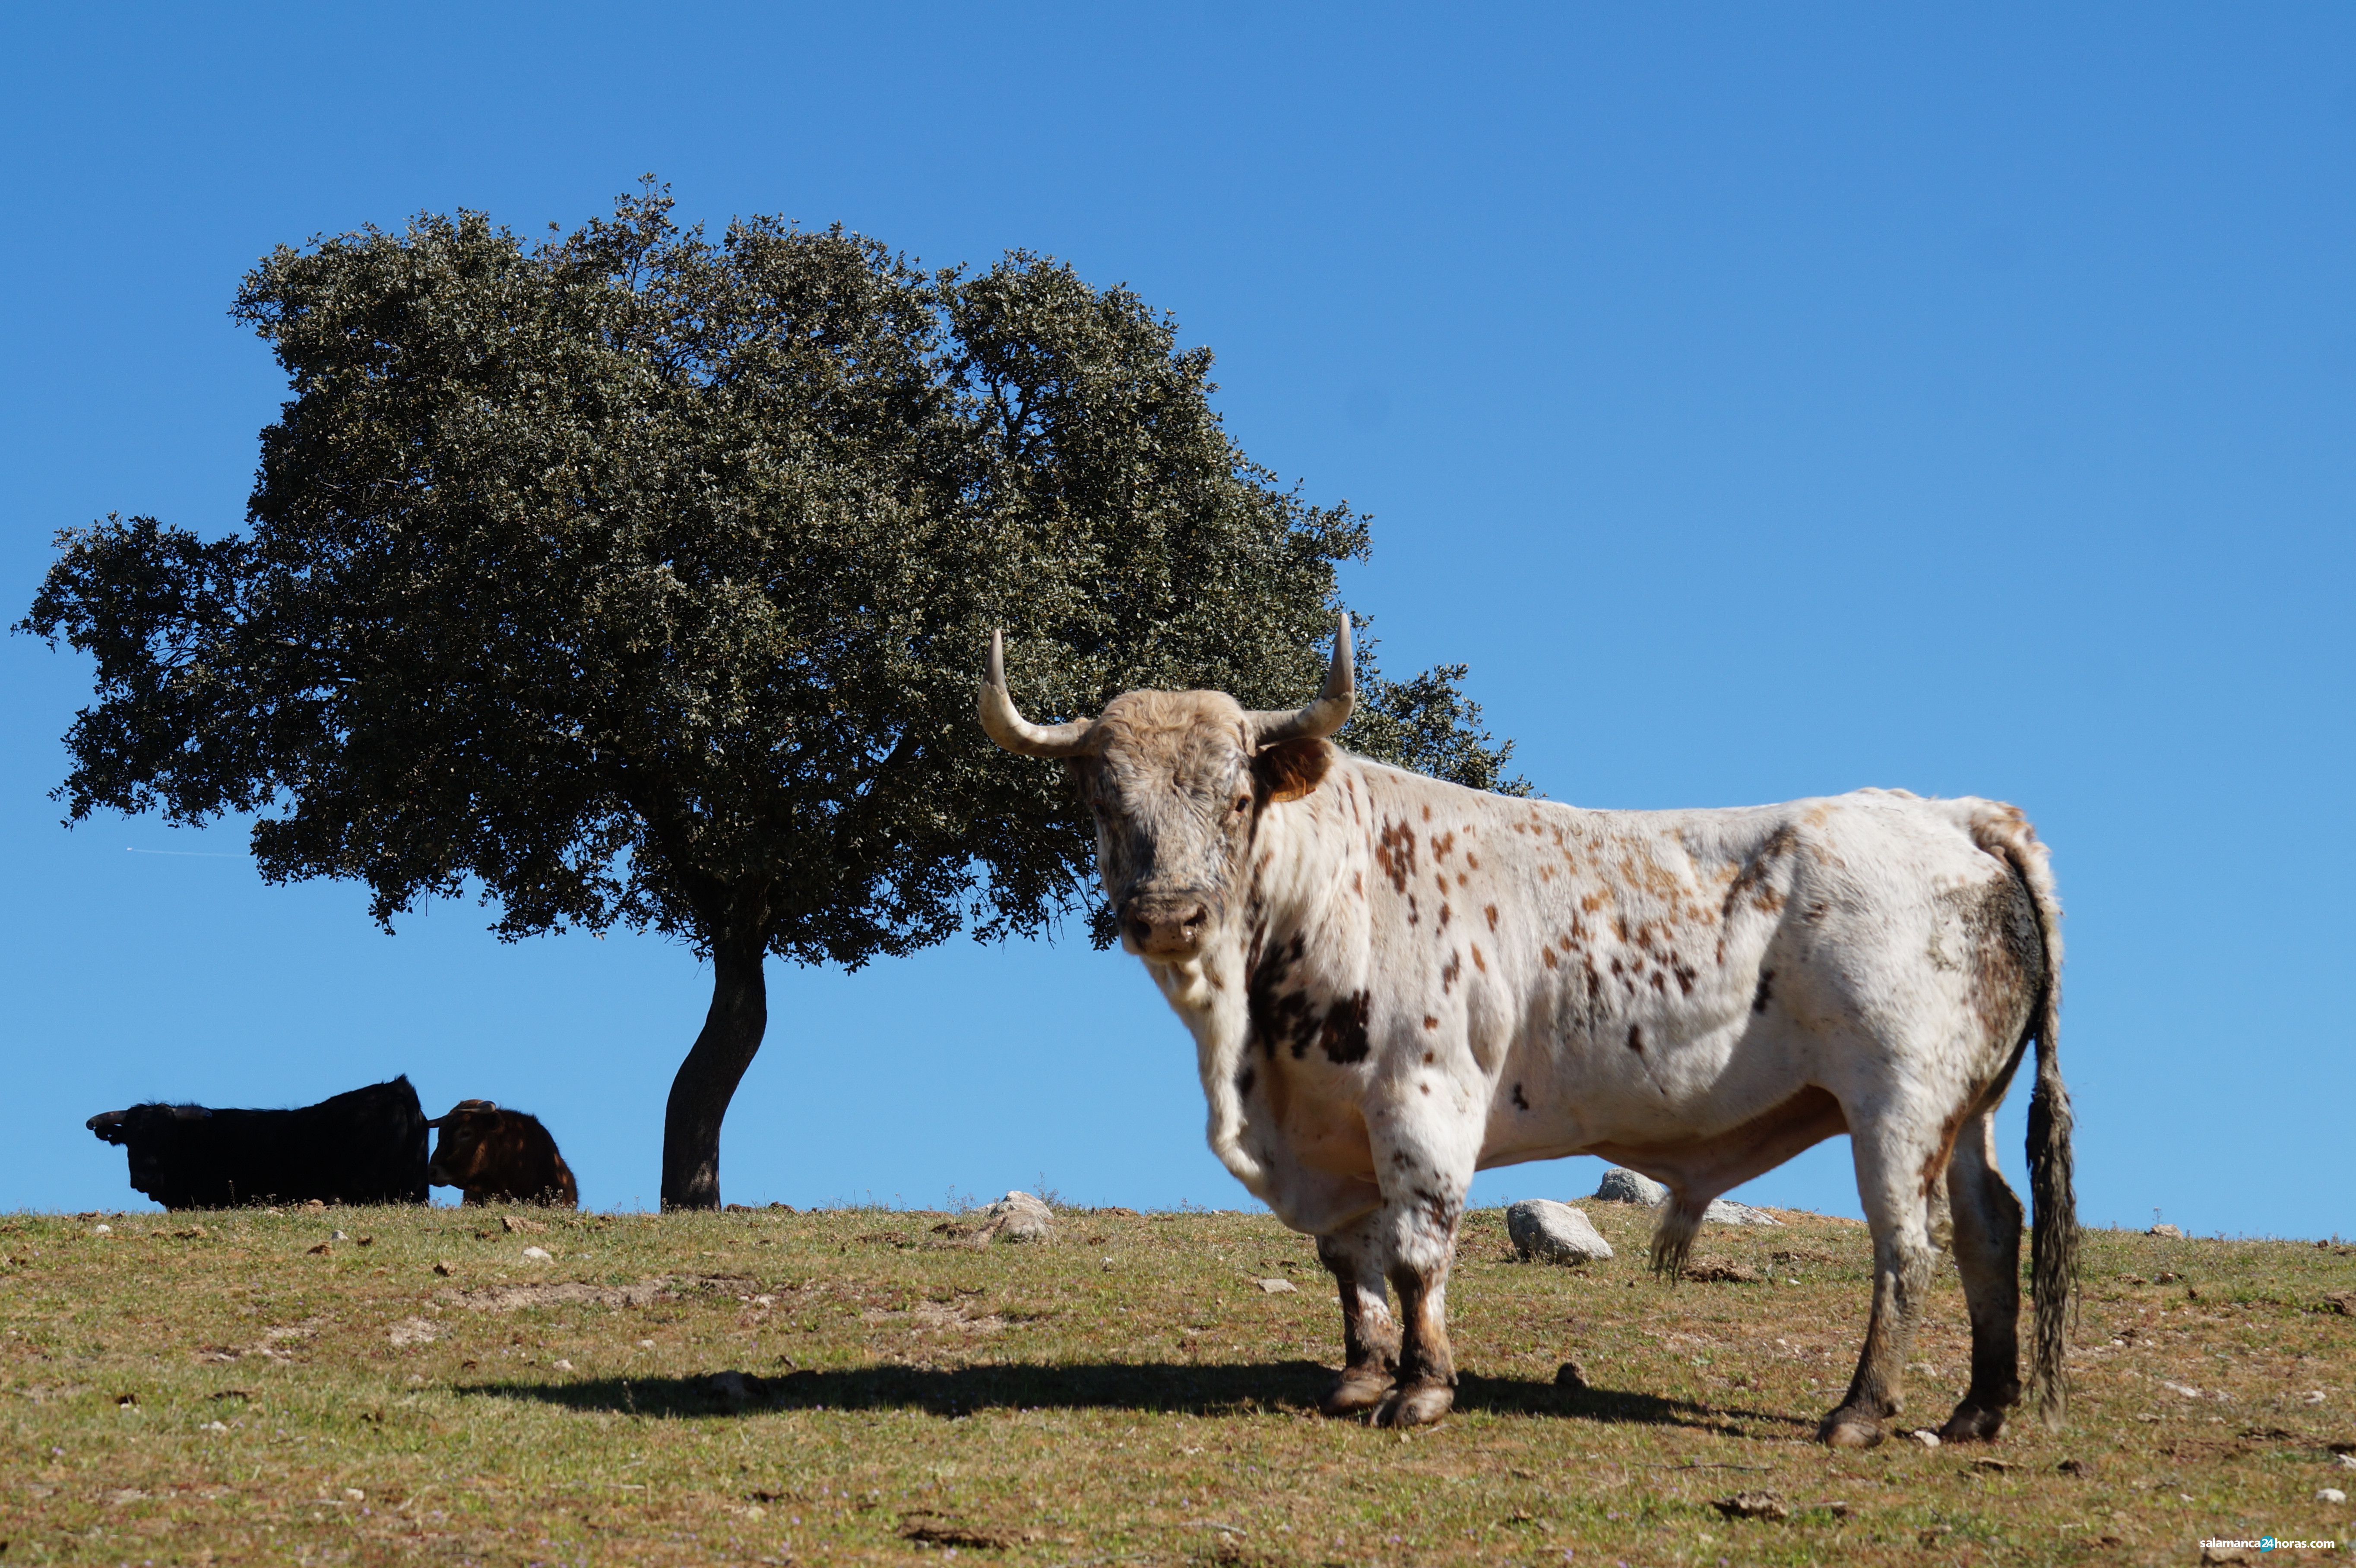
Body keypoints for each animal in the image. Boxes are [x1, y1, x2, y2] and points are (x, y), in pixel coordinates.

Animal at [985, 612, 2073, 1441]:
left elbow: (1416, 1248)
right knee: (1990, 1224)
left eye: (1238, 794)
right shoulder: (1331, 1127)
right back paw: (1975, 1411)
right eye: (1102, 795)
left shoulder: (1423, 1096)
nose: (1168, 914)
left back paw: (1857, 1411)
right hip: (1964, 1103)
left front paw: (1421, 1389)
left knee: (1908, 1243)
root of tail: (1950, 815)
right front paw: (1359, 1376)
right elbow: (1349, 1255)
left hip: (1897, 1097)